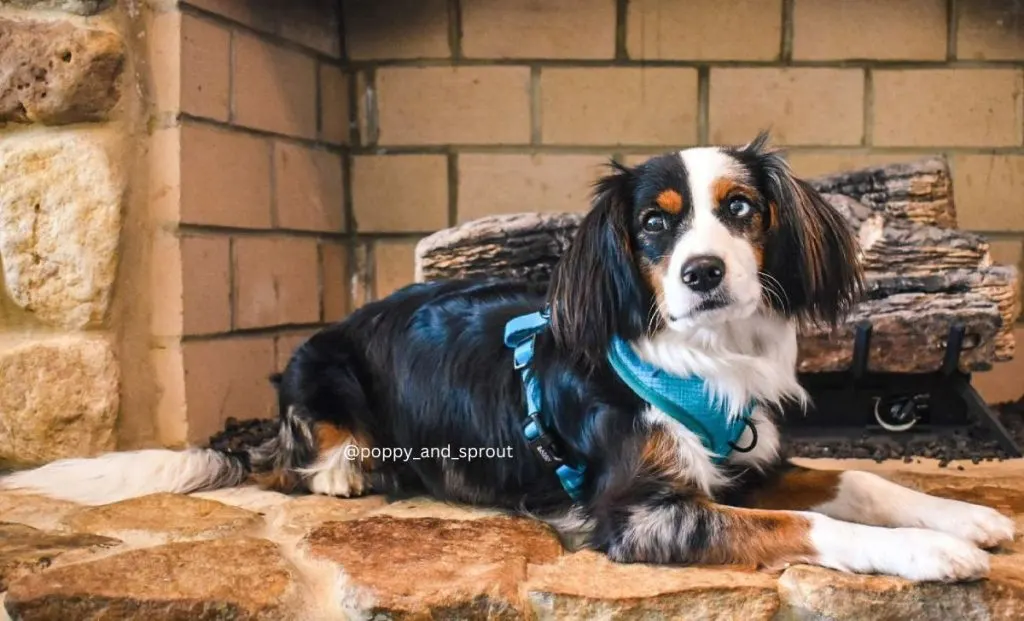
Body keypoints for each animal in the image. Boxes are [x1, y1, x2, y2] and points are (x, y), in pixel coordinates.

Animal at [4, 132, 1011, 582]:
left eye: (740, 208)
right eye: (655, 224)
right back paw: (345, 471)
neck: (702, 357)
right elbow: (810, 523)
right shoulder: (642, 514)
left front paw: (965, 515)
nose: (704, 271)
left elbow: (858, 477)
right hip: (321, 365)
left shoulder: (748, 459)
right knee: (297, 462)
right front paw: (931, 550)